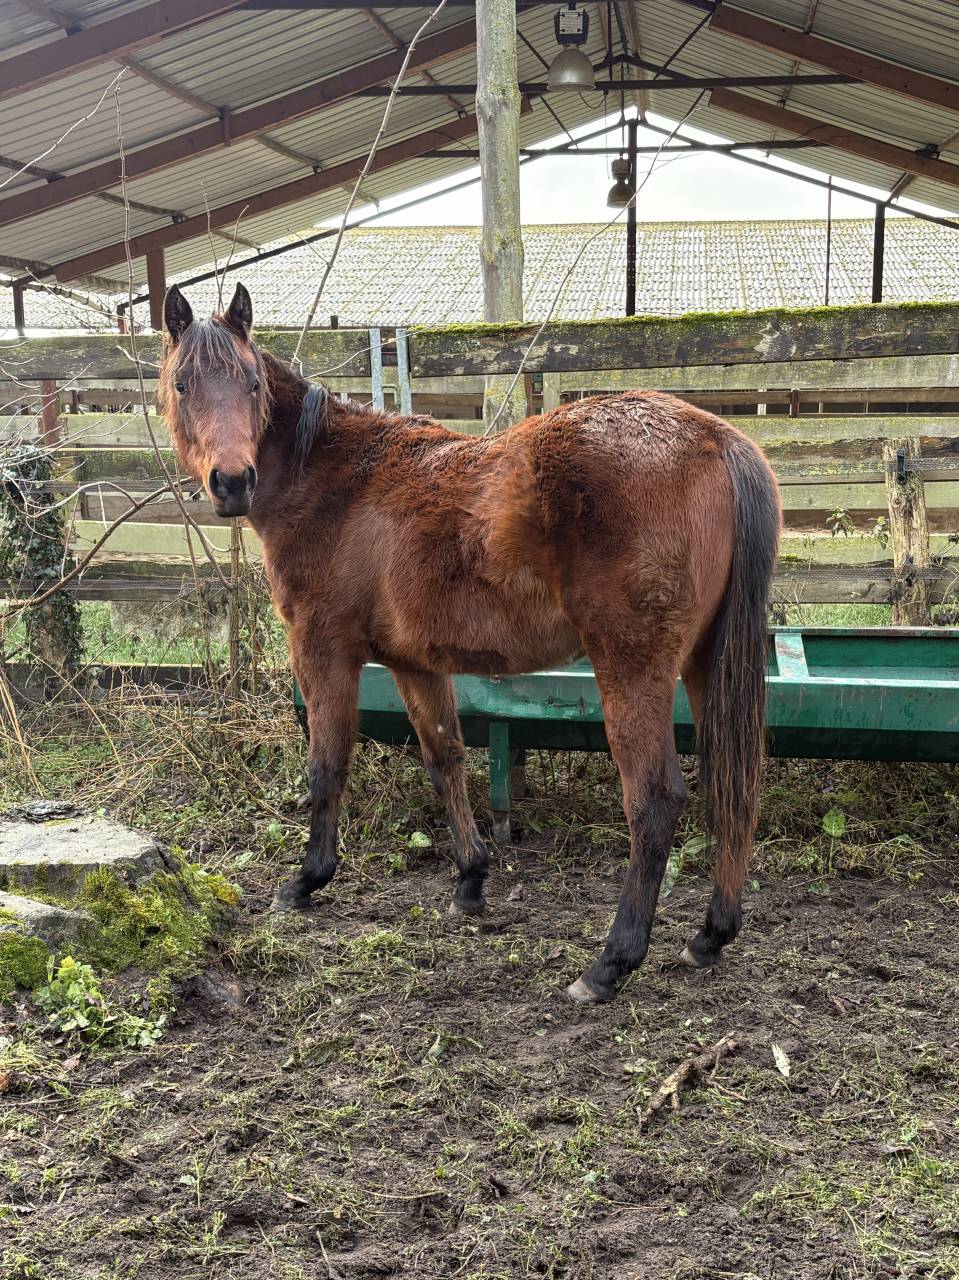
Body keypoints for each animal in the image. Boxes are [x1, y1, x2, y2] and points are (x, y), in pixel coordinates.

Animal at [158, 283, 781, 1004]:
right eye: (183, 384)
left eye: (252, 382)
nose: (233, 482)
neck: (333, 482)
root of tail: (715, 437)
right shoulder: (413, 665)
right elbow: (446, 759)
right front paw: (471, 879)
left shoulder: (323, 652)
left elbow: (327, 766)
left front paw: (309, 879)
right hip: (706, 662)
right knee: (733, 785)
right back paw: (711, 934)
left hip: (632, 666)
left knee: (654, 801)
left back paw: (610, 962)